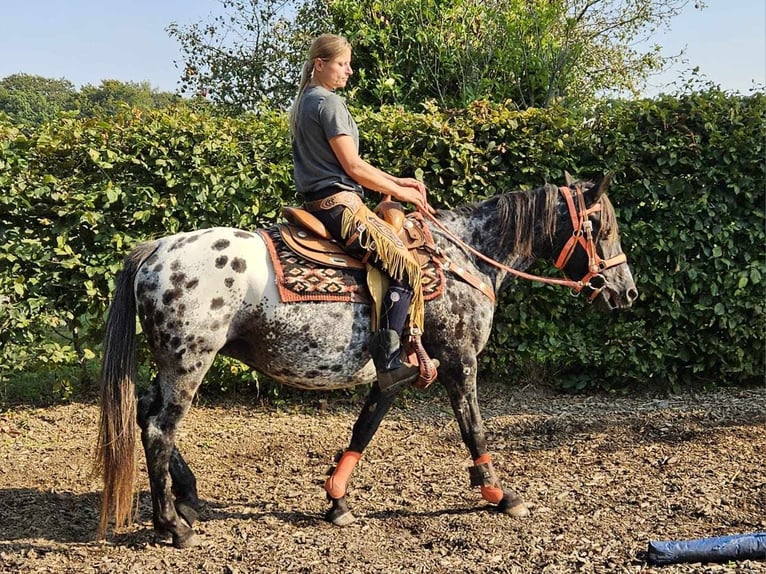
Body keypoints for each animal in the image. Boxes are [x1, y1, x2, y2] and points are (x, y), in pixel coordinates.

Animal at [93, 174, 640, 548]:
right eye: (600, 225)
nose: (626, 291)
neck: (465, 259)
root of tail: (155, 249)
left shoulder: (395, 373)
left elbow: (365, 427)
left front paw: (336, 499)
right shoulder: (459, 359)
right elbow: (474, 428)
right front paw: (499, 494)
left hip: (173, 363)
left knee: (145, 412)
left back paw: (187, 498)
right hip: (189, 361)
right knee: (160, 429)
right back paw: (172, 525)